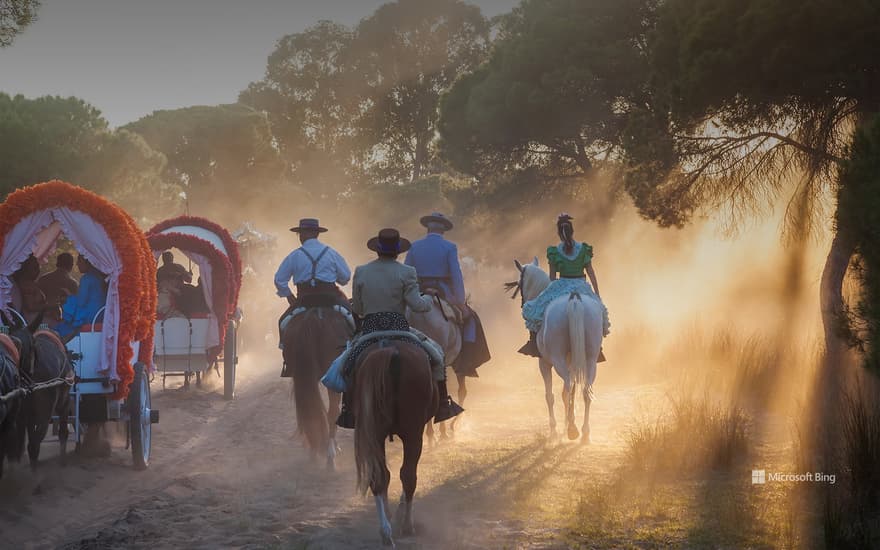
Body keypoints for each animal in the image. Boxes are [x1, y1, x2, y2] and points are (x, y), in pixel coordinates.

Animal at [282, 306, 350, 470]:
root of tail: (311, 318)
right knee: (332, 413)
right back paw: (330, 456)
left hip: (302, 377)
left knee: (311, 409)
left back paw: (315, 450)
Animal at [352, 342, 438, 544]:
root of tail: (391, 350)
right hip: (413, 433)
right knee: (408, 476)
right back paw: (406, 525)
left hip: (375, 433)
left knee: (379, 476)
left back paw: (386, 531)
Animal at [508, 258, 604, 444]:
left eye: (520, 283)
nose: (522, 303)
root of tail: (574, 299)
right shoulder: (572, 362)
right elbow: (571, 391)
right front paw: (567, 422)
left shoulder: (544, 363)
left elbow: (550, 395)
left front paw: (555, 430)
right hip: (590, 360)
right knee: (585, 391)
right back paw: (584, 433)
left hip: (557, 360)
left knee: (566, 387)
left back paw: (572, 429)